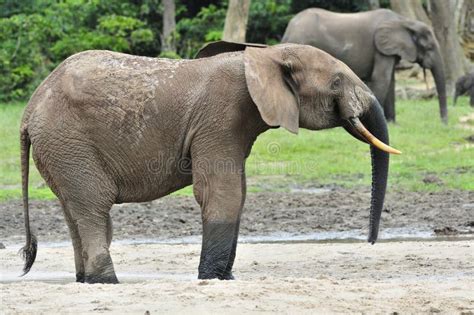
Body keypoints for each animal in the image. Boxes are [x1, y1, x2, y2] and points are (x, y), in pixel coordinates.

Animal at [19, 40, 400, 286]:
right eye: (336, 81)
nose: (370, 242)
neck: (266, 56)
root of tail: (29, 109)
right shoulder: (219, 118)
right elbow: (222, 193)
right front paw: (213, 278)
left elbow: (238, 192)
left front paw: (226, 277)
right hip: (69, 142)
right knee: (94, 208)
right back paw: (107, 282)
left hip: (60, 149)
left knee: (74, 210)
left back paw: (86, 281)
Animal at [282, 8, 448, 124]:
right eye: (429, 47)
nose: (443, 123)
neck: (404, 22)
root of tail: (289, 29)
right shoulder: (380, 49)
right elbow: (382, 79)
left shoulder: (387, 51)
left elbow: (390, 82)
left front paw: (392, 123)